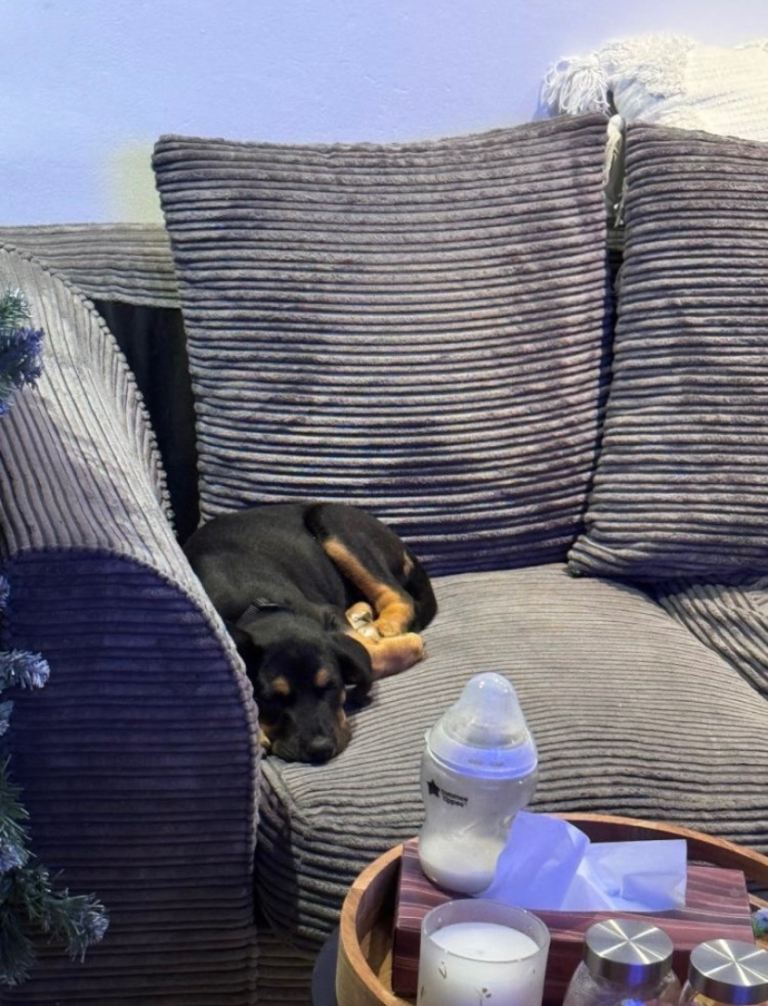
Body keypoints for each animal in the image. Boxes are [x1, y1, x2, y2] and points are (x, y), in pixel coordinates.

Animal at [184, 502, 437, 763]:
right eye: (271, 699)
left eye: (330, 686)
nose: (320, 749)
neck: (258, 607)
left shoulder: (327, 614)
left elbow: (373, 653)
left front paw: (405, 643)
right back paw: (363, 616)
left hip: (330, 522)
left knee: (401, 597)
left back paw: (384, 626)